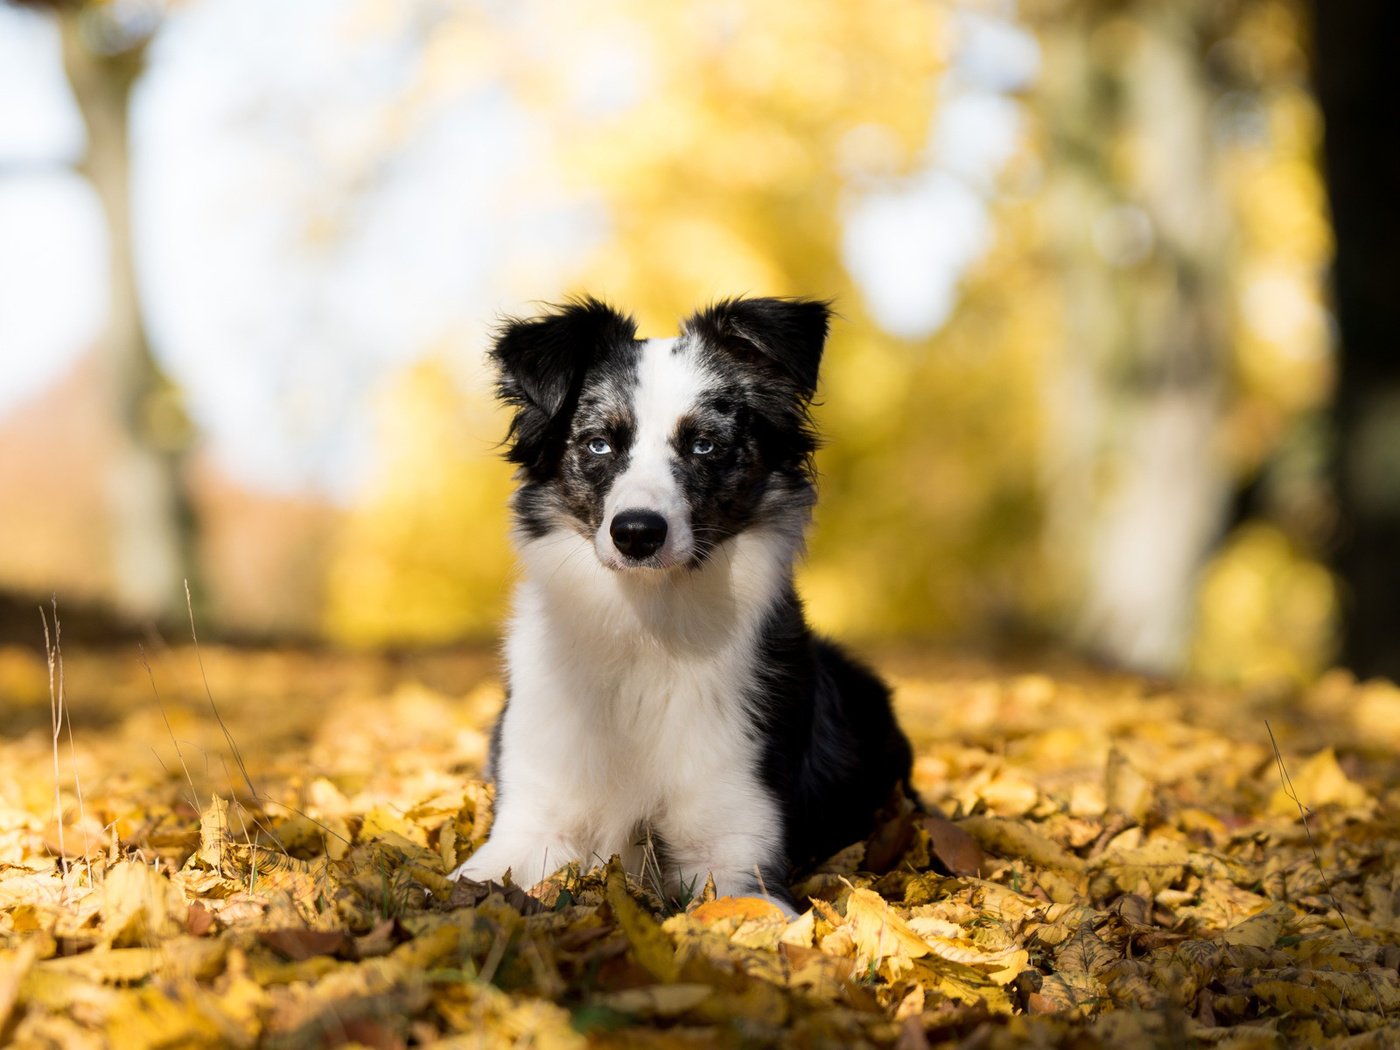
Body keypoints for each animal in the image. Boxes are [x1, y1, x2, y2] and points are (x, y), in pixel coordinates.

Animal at [442, 294, 912, 912]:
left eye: (703, 445)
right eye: (598, 444)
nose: (637, 534)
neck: (647, 626)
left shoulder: (734, 858)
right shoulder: (530, 828)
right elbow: (463, 890)